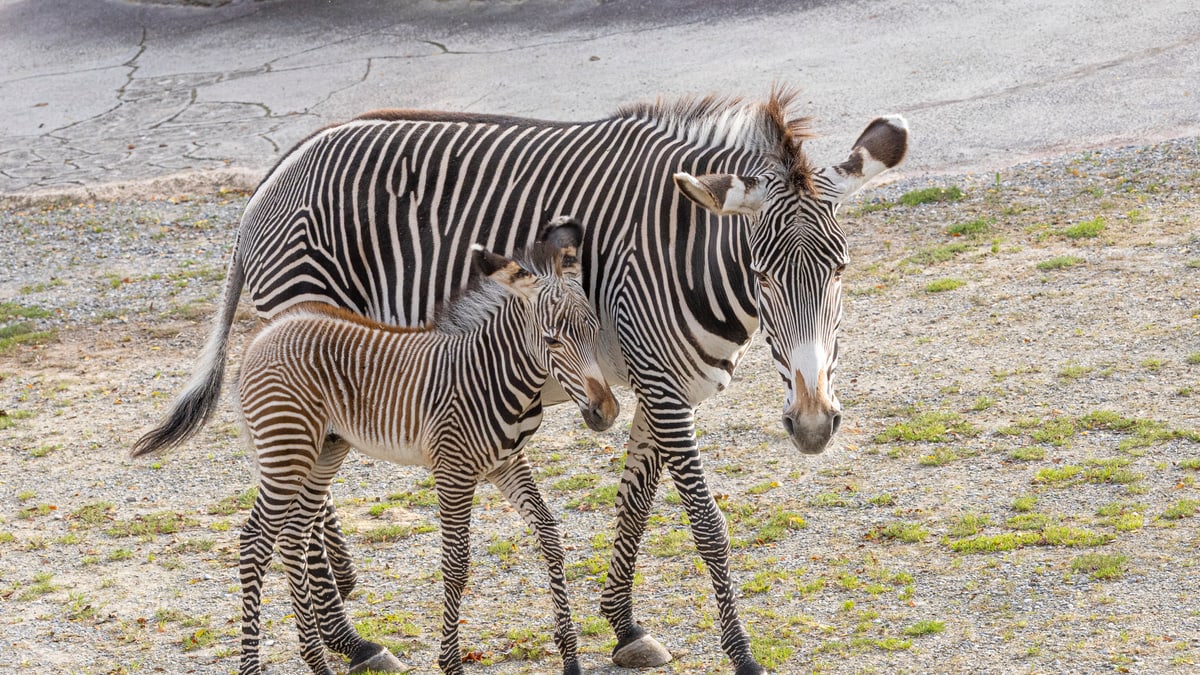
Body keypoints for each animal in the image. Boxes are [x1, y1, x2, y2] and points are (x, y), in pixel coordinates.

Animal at [233, 221, 615, 675]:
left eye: (595, 331)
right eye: (552, 340)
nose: (606, 412)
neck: (495, 375)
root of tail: (266, 333)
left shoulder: (508, 463)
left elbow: (550, 536)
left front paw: (570, 657)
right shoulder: (453, 470)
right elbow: (456, 564)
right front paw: (451, 662)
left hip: (324, 450)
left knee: (293, 536)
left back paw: (317, 662)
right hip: (286, 449)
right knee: (255, 540)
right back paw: (252, 665)